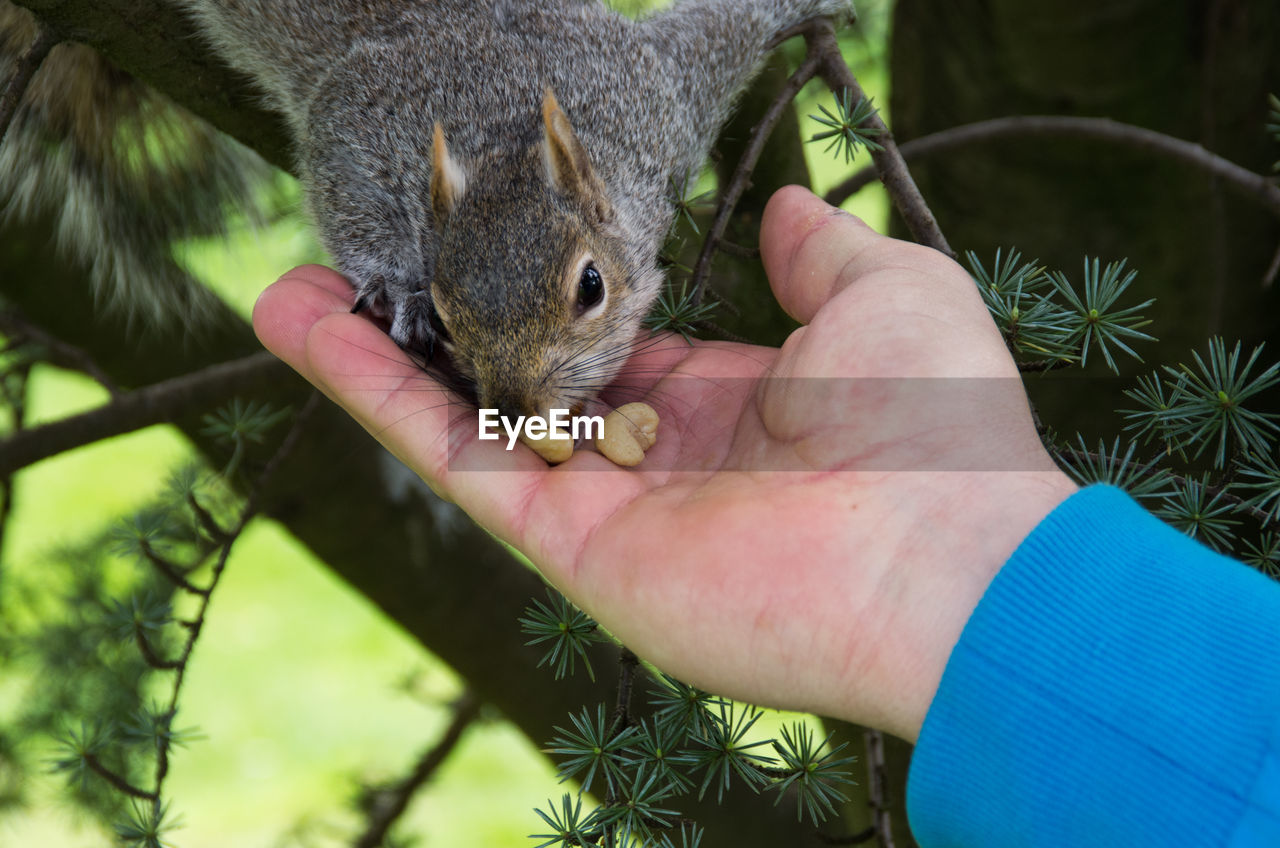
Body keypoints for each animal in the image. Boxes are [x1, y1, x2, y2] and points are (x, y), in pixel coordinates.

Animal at [7, 0, 860, 422]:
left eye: (592, 287)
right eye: (449, 317)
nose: (514, 409)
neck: (510, 125)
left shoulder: (662, 99)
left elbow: (715, 29)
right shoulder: (362, 115)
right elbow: (342, 178)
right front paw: (399, 289)